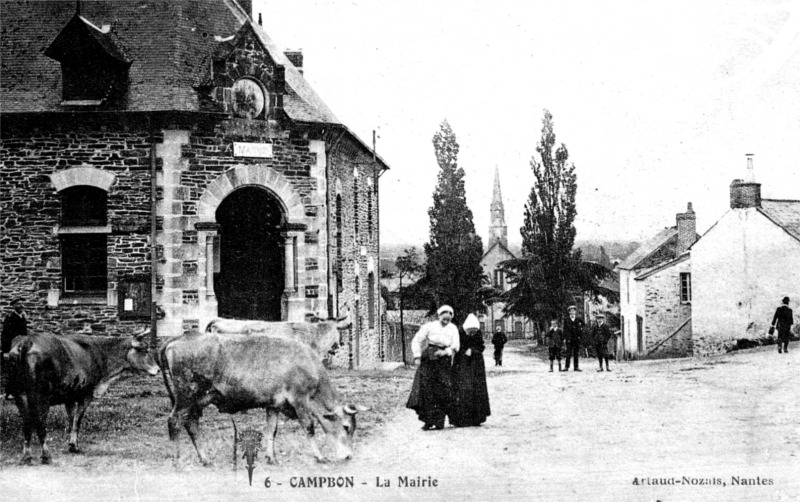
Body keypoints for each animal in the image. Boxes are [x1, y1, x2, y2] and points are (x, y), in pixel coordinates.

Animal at [7, 332, 160, 464]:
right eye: (144, 349)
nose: (158, 369)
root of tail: (27, 341)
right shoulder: (86, 395)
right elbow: (77, 421)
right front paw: (74, 446)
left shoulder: (69, 396)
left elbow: (71, 420)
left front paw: (71, 444)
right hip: (42, 396)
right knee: (39, 424)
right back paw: (46, 455)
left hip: (20, 395)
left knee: (27, 424)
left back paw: (26, 456)